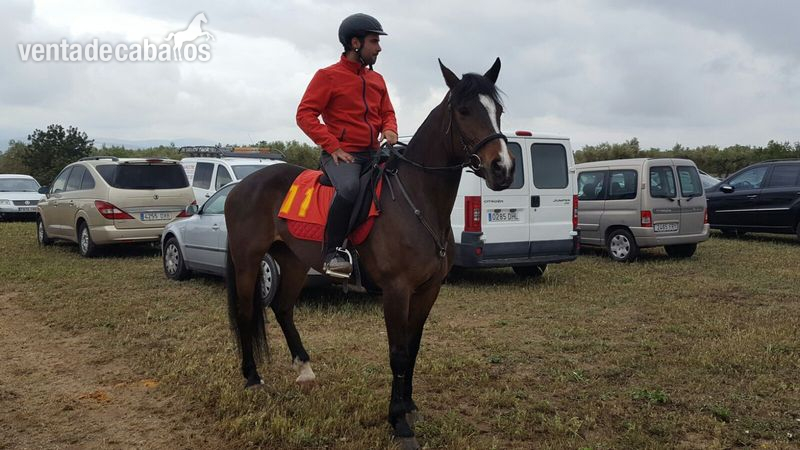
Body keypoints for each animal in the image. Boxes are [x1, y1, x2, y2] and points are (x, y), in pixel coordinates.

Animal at [224, 58, 514, 449]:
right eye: (464, 110)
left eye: (498, 110)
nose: (503, 169)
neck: (417, 199)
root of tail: (240, 186)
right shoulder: (396, 290)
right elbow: (398, 353)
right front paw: (399, 422)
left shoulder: (428, 290)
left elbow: (413, 348)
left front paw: (409, 405)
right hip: (248, 261)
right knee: (244, 313)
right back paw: (253, 379)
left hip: (293, 261)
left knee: (282, 308)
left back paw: (305, 368)